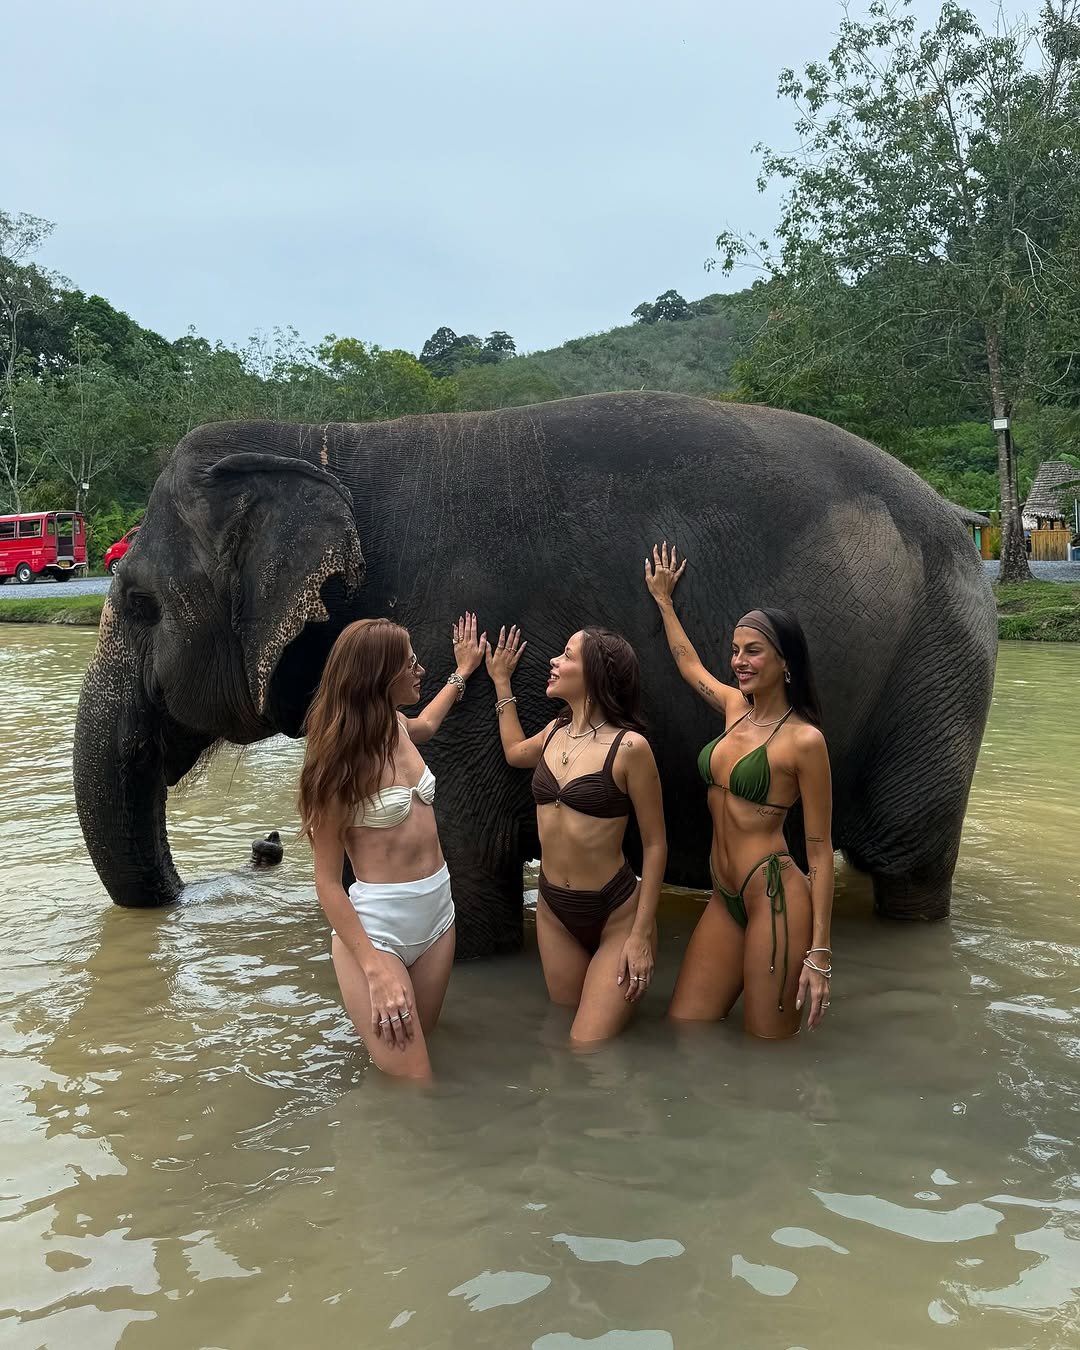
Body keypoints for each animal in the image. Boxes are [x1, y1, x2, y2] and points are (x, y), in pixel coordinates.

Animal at [73, 394, 993, 961]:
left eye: (138, 600)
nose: (256, 854)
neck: (326, 441)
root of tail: (962, 524)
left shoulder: (447, 635)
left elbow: (465, 859)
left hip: (937, 673)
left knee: (908, 861)